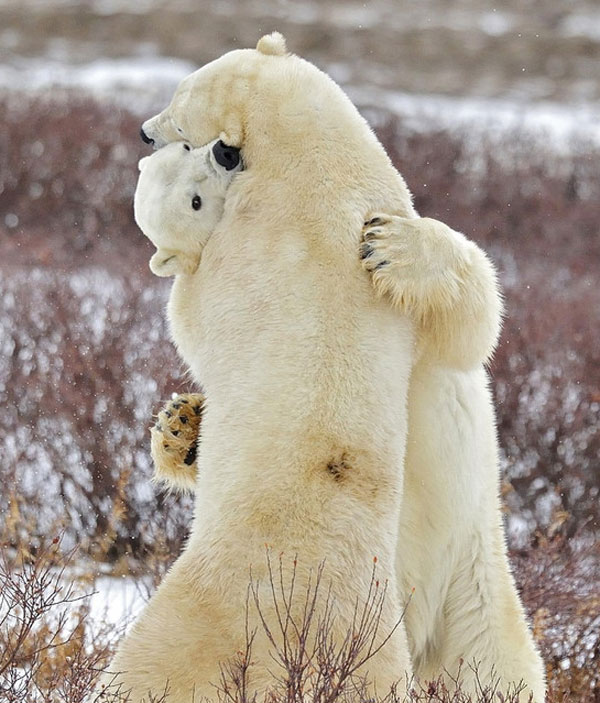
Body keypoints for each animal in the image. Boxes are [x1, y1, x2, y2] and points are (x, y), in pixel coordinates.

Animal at [105, 35, 548, 703]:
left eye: (179, 107)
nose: (141, 129)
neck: (307, 174)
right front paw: (181, 428)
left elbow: (469, 327)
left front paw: (392, 247)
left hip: (473, 588)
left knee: (492, 666)